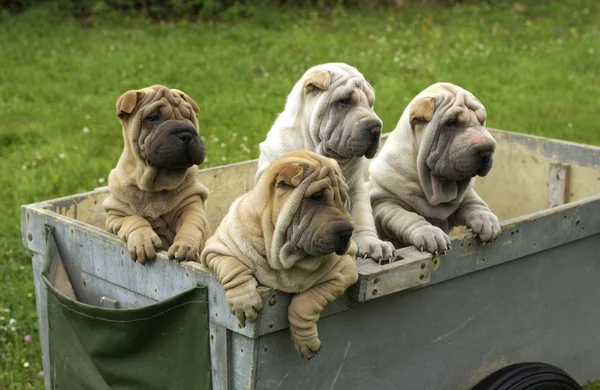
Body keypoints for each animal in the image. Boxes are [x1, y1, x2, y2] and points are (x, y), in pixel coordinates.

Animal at [101, 85, 209, 266]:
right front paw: (143, 240)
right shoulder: (115, 215)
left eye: (189, 117)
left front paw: (184, 246)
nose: (186, 134)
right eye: (153, 118)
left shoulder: (192, 204)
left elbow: (190, 226)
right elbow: (135, 221)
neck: (155, 184)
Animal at [202, 150, 360, 360]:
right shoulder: (218, 247)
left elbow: (306, 302)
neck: (281, 255)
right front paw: (244, 301)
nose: (347, 233)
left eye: (344, 198)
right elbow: (233, 269)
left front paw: (305, 342)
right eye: (316, 196)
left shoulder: (344, 270)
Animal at [255, 64, 396, 264]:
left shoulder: (356, 187)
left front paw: (372, 243)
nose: (376, 128)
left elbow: (362, 215)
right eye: (343, 101)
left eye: (370, 103)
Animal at [368, 82, 500, 254]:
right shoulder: (384, 203)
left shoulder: (463, 193)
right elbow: (408, 216)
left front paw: (487, 219)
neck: (436, 187)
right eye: (451, 123)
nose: (488, 149)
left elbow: (473, 201)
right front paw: (430, 233)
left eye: (481, 121)